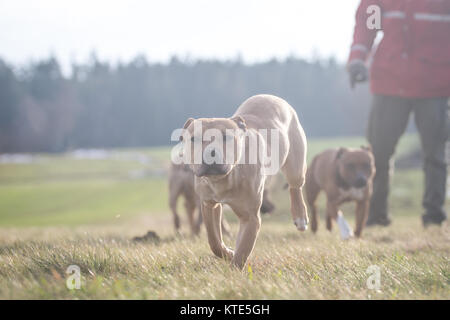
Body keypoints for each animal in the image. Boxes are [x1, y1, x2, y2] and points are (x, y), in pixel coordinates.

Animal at [179, 94, 310, 268]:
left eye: (227, 137)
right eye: (194, 139)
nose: (210, 153)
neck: (225, 179)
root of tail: (271, 96)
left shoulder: (250, 217)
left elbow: (243, 249)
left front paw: (234, 268)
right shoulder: (209, 204)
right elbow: (214, 240)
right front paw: (228, 253)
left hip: (295, 164)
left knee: (295, 187)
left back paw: (300, 216)